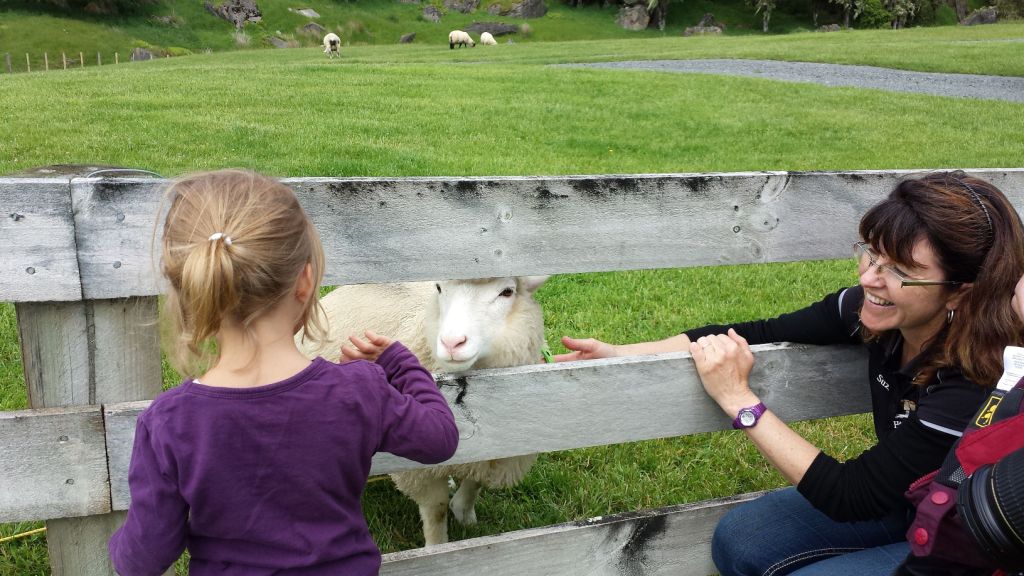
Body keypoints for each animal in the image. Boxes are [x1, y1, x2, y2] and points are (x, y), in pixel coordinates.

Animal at [299, 276, 548, 545]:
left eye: (507, 292)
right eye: (439, 288)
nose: (452, 343)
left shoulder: (498, 450)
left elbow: (475, 482)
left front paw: (464, 513)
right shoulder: (420, 469)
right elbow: (436, 510)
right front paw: (437, 546)